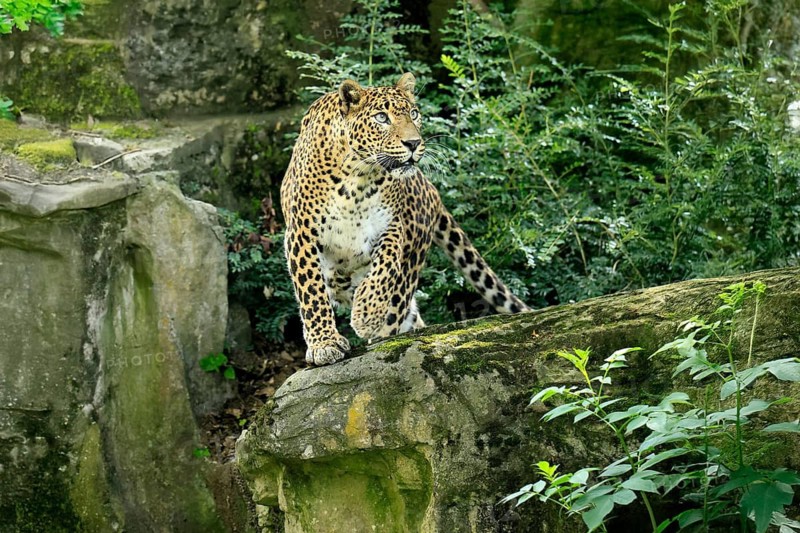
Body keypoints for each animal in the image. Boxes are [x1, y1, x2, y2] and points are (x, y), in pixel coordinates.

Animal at [281, 72, 530, 366]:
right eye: (381, 118)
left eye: (414, 113)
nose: (413, 144)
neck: (357, 178)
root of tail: (431, 189)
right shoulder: (302, 234)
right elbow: (311, 291)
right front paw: (324, 343)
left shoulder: (393, 225)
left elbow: (385, 265)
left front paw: (367, 313)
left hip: (409, 264)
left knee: (399, 310)